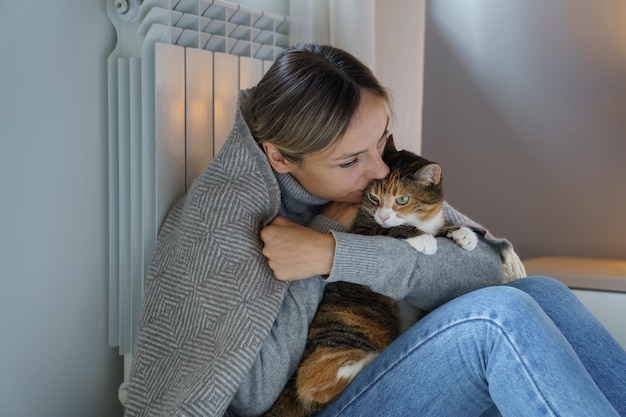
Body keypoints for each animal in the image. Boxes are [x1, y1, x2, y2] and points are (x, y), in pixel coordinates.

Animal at [264, 135, 478, 414]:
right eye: (374, 198)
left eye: (402, 200)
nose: (384, 215)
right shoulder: (364, 228)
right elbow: (387, 231)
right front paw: (423, 239)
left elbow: (441, 229)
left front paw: (462, 233)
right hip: (346, 331)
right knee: (314, 382)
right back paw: (382, 356)